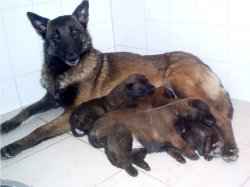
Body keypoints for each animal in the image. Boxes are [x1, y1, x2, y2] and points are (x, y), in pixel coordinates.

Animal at [0, 0, 238, 161]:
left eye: (75, 32)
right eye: (56, 36)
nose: (72, 57)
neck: (62, 71)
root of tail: (202, 63)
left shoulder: (69, 112)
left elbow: (40, 130)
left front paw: (13, 146)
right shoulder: (51, 99)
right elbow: (25, 111)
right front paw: (7, 124)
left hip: (182, 85)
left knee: (223, 118)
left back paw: (230, 149)